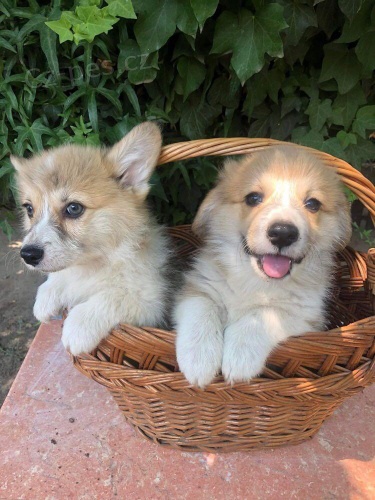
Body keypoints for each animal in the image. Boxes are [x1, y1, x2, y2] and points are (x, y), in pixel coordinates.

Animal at [12, 121, 175, 356]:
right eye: (29, 209)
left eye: (73, 208)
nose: (28, 255)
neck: (94, 265)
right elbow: (57, 279)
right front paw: (45, 298)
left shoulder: (151, 302)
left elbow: (113, 297)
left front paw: (79, 326)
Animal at [175, 145, 354, 386]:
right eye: (253, 198)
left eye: (313, 204)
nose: (283, 233)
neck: (255, 282)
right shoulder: (199, 287)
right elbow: (202, 308)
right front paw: (198, 358)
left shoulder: (306, 316)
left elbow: (262, 314)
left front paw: (239, 358)